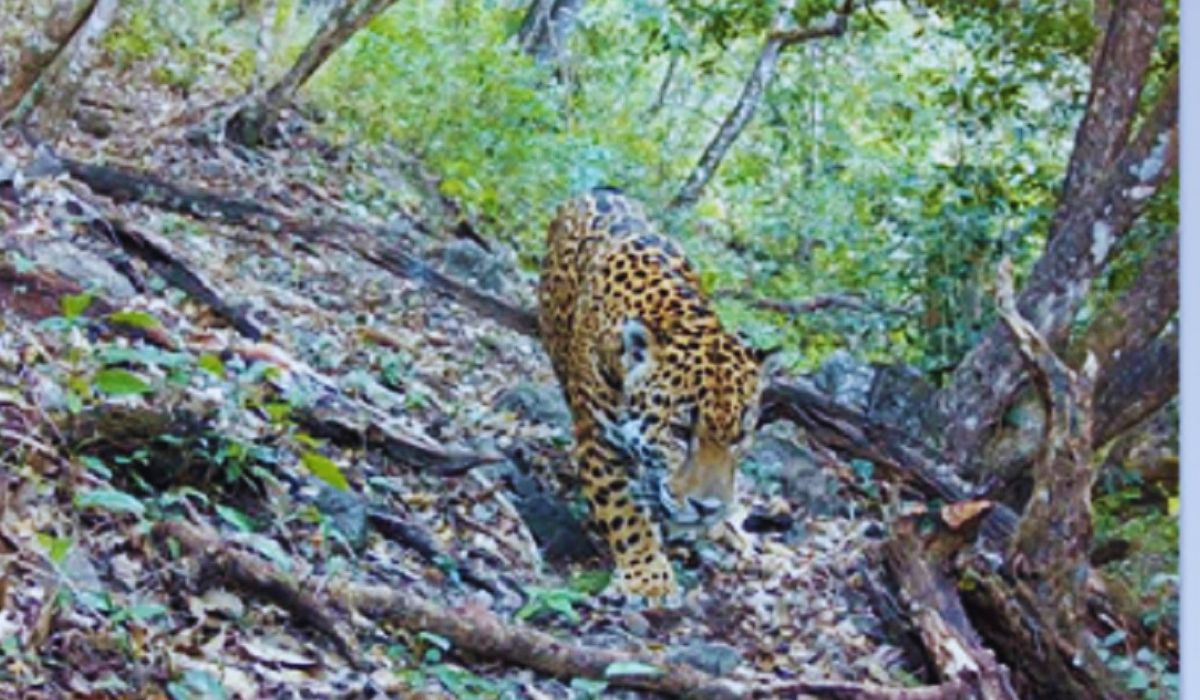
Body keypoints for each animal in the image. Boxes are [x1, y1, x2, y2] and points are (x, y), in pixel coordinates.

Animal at [537, 187, 775, 601]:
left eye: (740, 437)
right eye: (679, 431)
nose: (706, 508)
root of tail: (599, 190)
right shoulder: (598, 440)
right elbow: (624, 511)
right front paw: (649, 578)